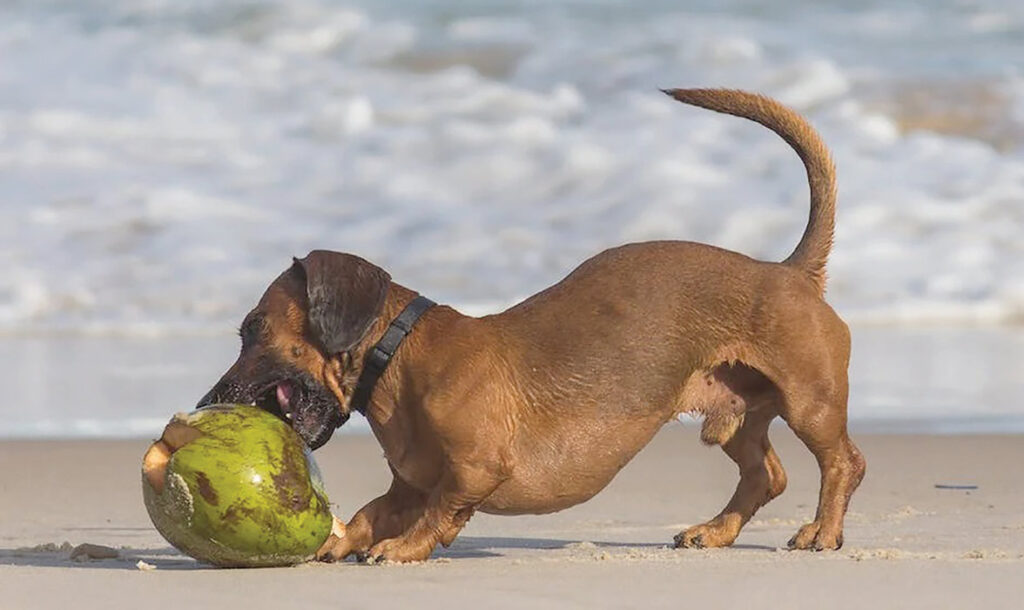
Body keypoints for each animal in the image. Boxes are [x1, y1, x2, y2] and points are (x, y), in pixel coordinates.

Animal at [197, 89, 864, 560]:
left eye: (253, 329)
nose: (206, 403)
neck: (402, 354)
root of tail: (789, 271)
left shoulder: (474, 471)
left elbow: (441, 512)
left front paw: (404, 549)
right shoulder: (408, 484)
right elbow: (372, 512)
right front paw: (342, 541)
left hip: (810, 403)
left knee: (843, 463)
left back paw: (821, 532)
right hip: (736, 421)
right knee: (766, 475)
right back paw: (716, 531)